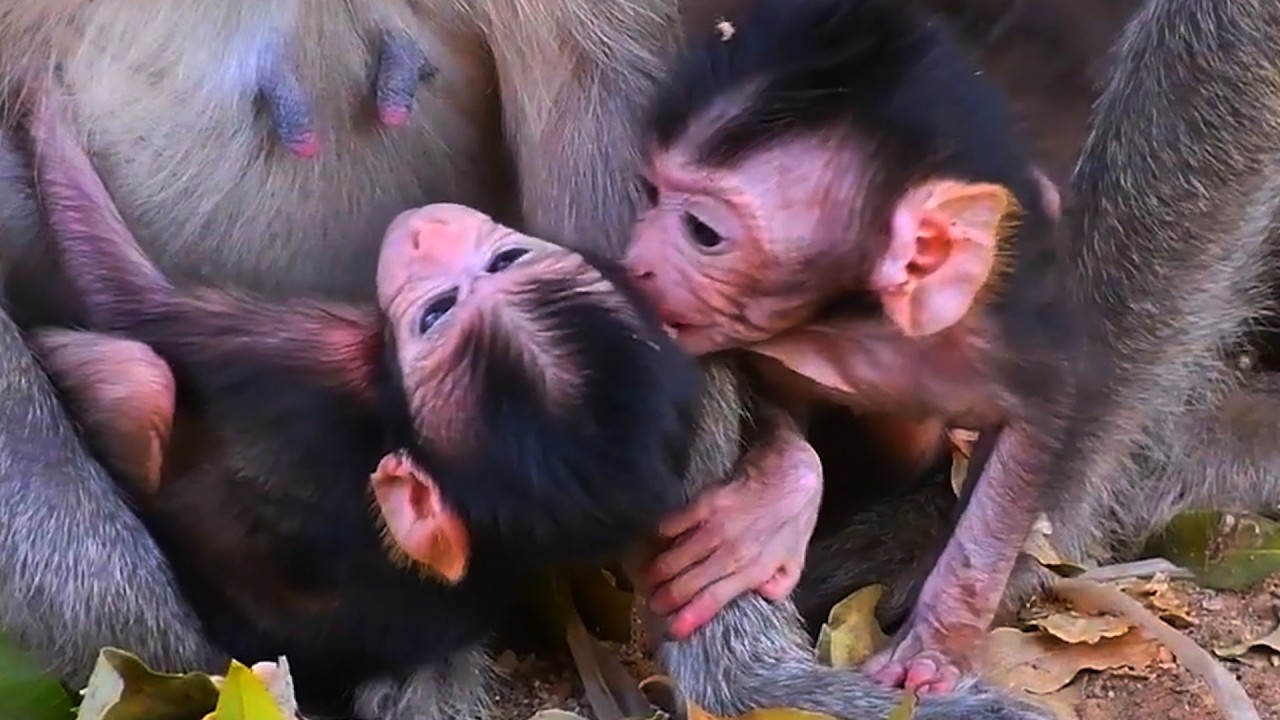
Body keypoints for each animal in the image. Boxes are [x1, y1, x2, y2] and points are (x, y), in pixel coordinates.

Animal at [623, 0, 1081, 694]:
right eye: (650, 194)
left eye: (703, 232)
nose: (635, 263)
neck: (856, 325)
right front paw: (774, 501)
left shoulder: (996, 338)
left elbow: (1035, 426)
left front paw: (940, 639)